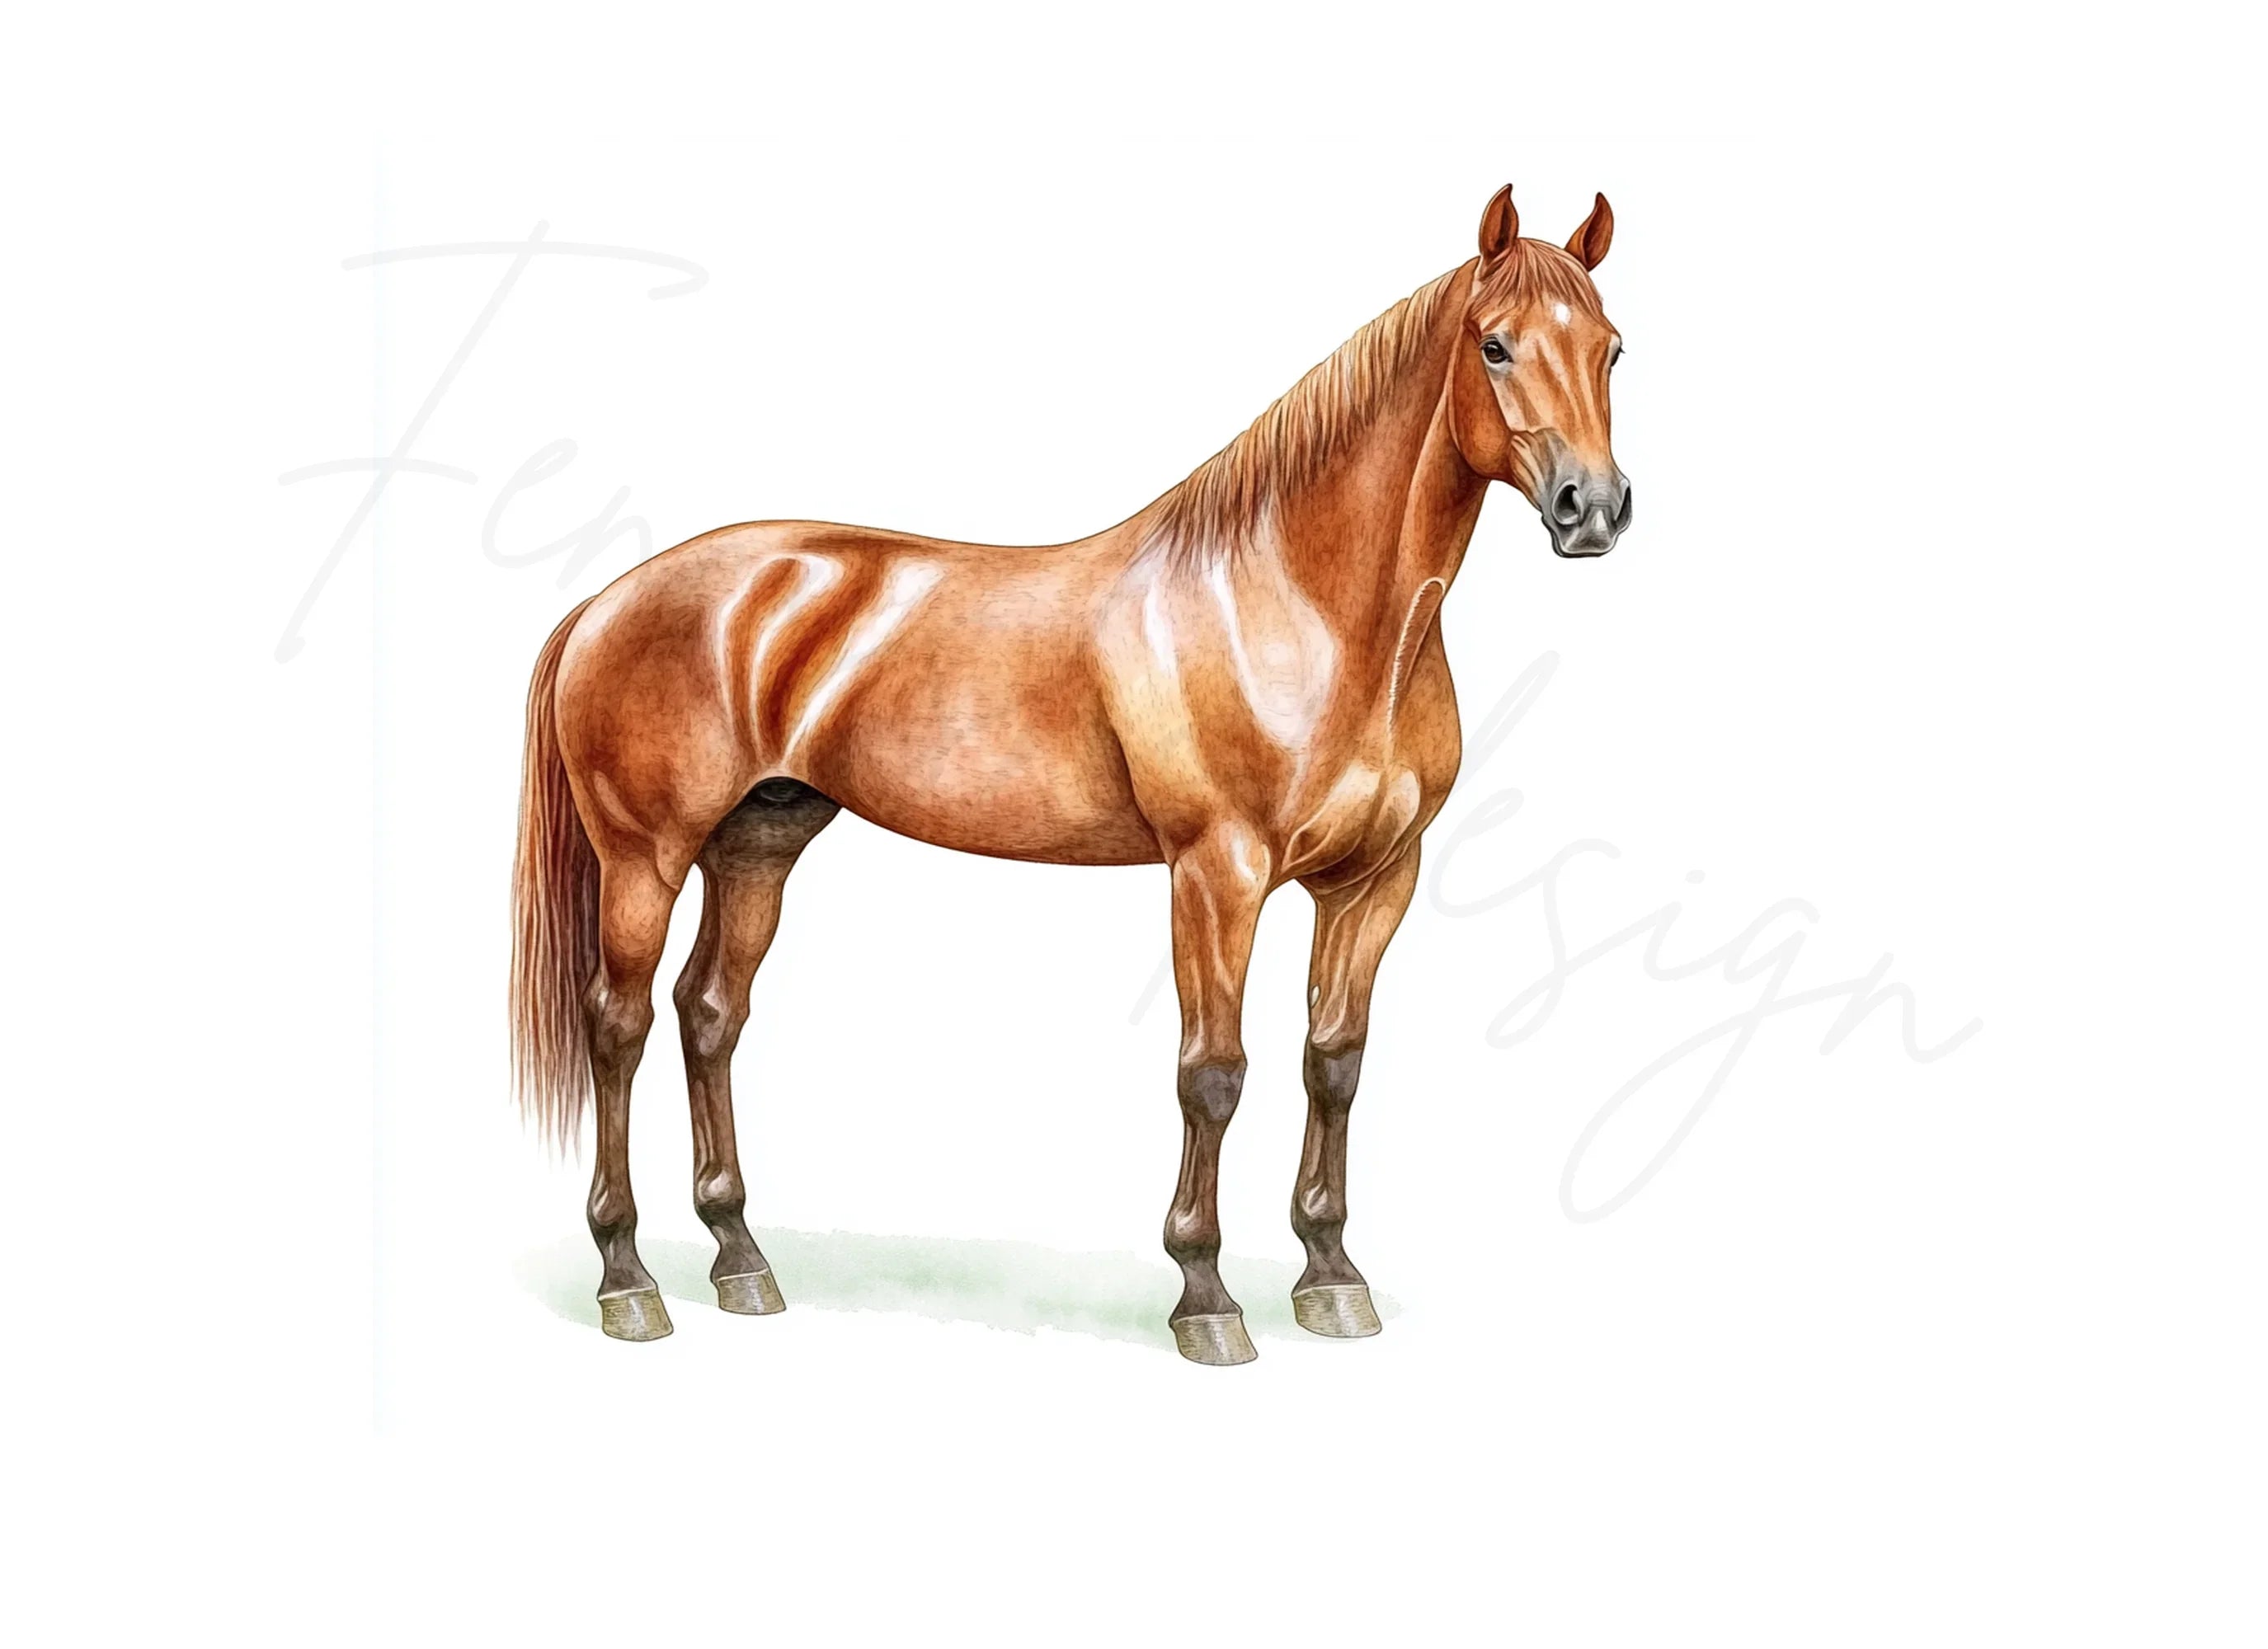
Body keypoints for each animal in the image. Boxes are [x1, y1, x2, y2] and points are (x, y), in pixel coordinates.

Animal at [510, 183, 1631, 1362]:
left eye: (1611, 347)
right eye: (1494, 344)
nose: (1591, 508)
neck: (1300, 603)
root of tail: (605, 601)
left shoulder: (1375, 880)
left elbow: (1334, 1059)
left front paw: (1330, 1277)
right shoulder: (1216, 875)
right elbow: (1212, 1073)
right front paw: (1205, 1295)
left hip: (758, 843)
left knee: (710, 1013)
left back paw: (739, 1259)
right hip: (644, 856)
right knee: (618, 1023)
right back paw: (628, 1278)